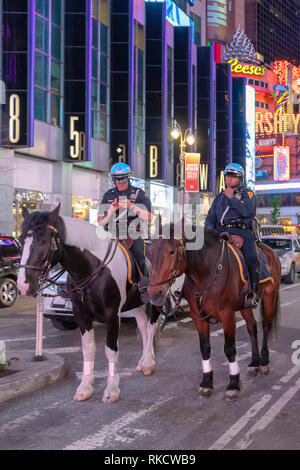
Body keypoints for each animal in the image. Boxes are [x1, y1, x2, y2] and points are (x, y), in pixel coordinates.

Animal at [17, 206, 161, 404]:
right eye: (21, 239)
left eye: (44, 240)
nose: (23, 285)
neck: (93, 268)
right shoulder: (81, 315)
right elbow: (88, 349)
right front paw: (85, 387)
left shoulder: (112, 314)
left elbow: (111, 349)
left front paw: (111, 389)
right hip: (135, 303)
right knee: (143, 324)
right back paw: (143, 362)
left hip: (157, 298)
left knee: (152, 325)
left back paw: (148, 362)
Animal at [149, 226, 282, 402]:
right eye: (150, 251)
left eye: (171, 251)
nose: (154, 293)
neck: (205, 272)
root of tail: (271, 251)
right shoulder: (198, 316)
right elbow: (205, 348)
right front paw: (207, 383)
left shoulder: (227, 314)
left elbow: (230, 349)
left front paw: (233, 385)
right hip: (245, 305)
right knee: (252, 327)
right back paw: (254, 363)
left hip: (269, 296)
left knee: (266, 326)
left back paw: (264, 362)